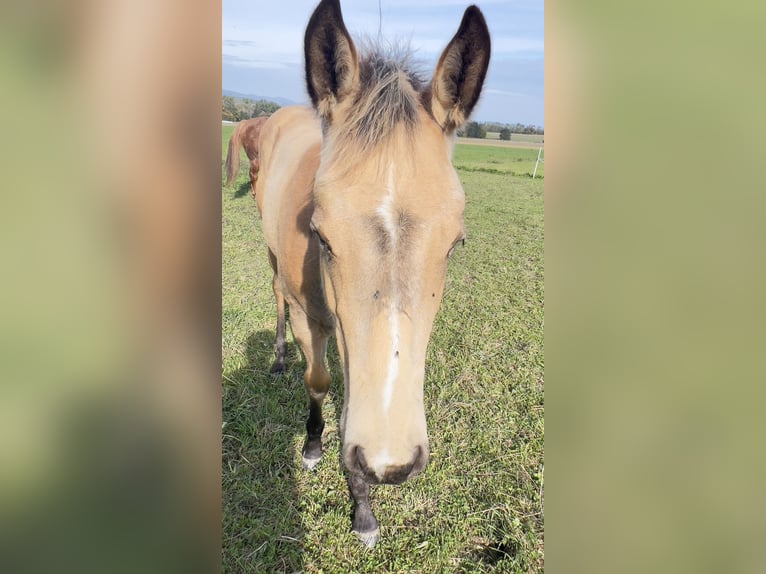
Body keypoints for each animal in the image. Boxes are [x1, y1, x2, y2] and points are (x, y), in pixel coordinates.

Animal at [254, 0, 492, 548]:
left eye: (455, 244)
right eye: (320, 236)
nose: (391, 463)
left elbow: (352, 406)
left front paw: (362, 509)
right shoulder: (311, 317)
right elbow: (319, 380)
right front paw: (314, 448)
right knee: (276, 294)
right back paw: (277, 357)